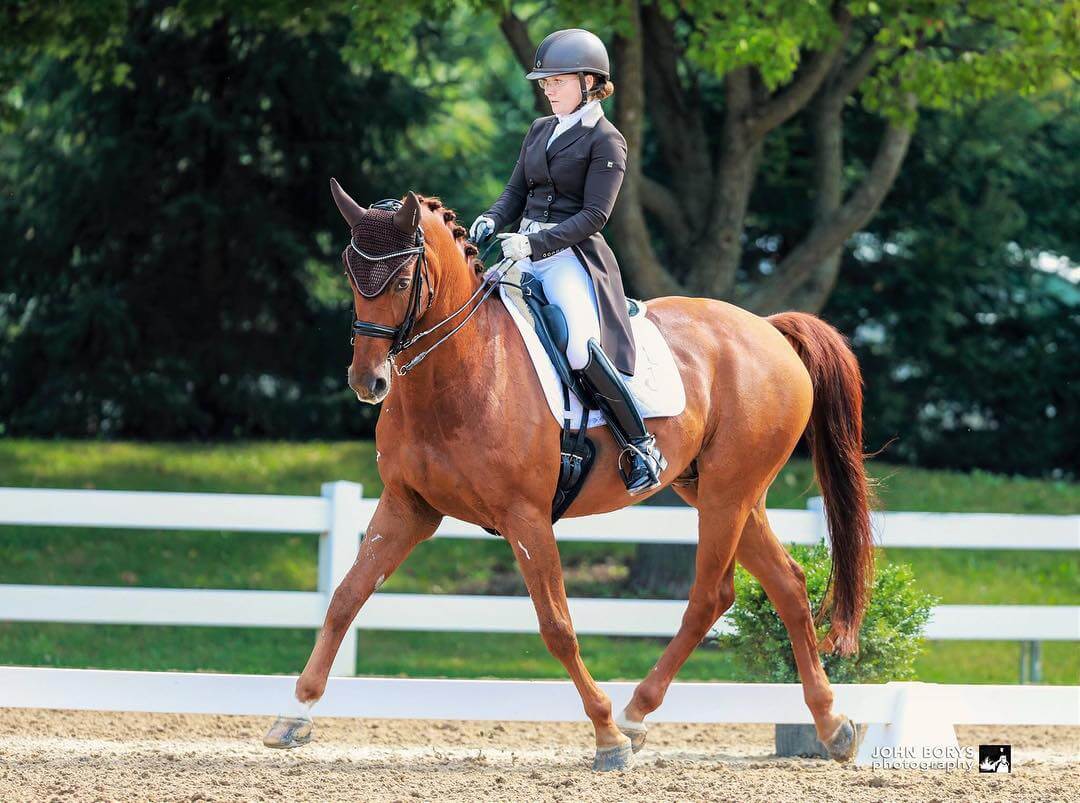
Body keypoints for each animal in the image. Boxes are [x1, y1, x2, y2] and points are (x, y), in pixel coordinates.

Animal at [263, 182, 874, 772]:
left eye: (404, 278)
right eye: (351, 274)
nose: (367, 382)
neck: (461, 368)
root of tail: (767, 330)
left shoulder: (525, 517)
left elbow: (557, 626)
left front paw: (606, 738)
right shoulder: (408, 505)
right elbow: (345, 598)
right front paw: (294, 714)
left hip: (728, 494)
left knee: (709, 595)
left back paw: (632, 716)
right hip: (720, 492)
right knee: (786, 585)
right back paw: (830, 725)